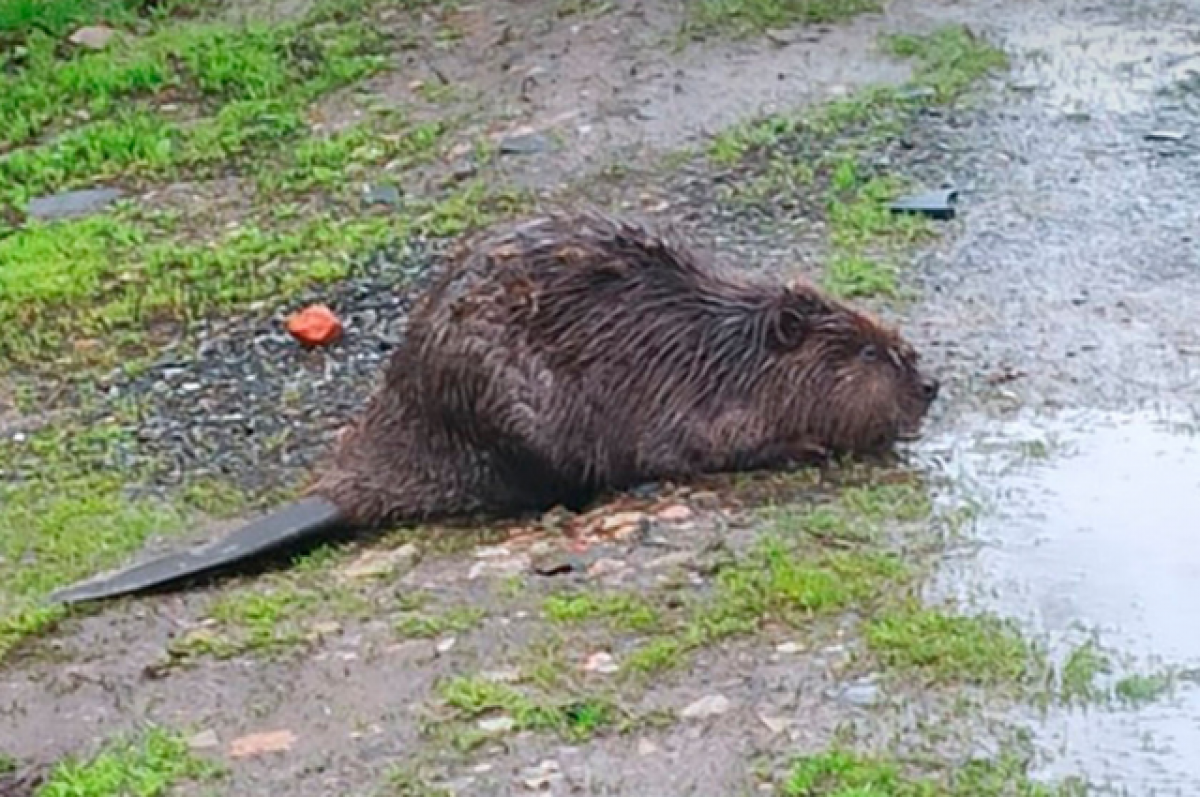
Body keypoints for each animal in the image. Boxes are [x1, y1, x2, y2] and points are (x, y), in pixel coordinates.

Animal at [51, 206, 936, 604]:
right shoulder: (696, 400)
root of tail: (346, 486)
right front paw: (810, 445)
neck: (720, 342)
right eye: (865, 351)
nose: (929, 384)